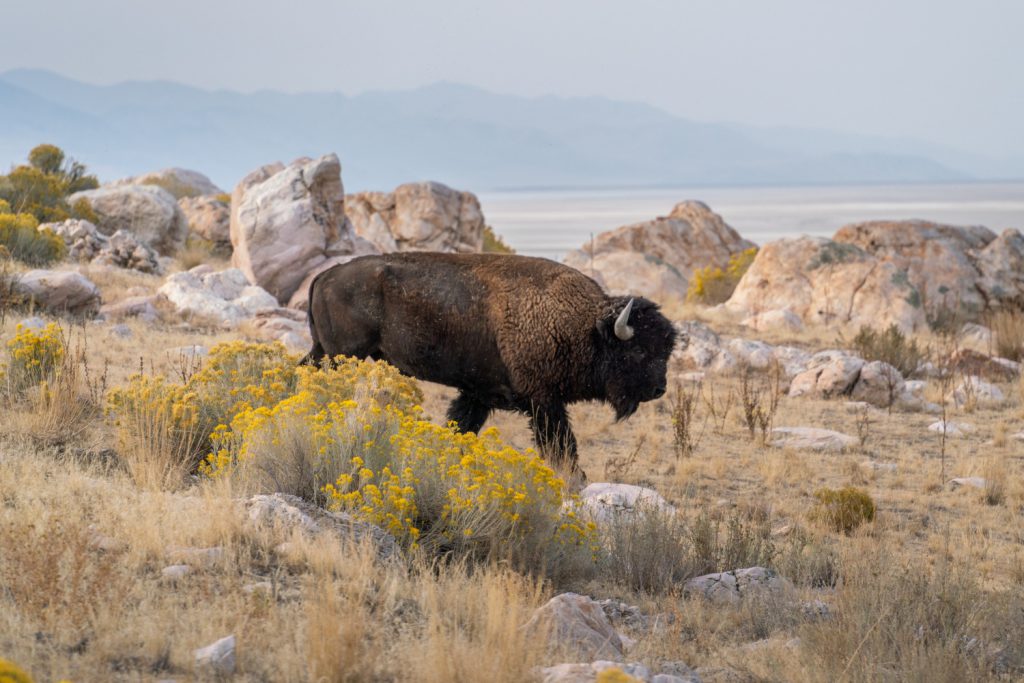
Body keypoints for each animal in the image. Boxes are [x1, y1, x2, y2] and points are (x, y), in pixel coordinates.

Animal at [299, 252, 675, 475]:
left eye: (666, 349)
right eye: (638, 351)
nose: (659, 389)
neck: (584, 325)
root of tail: (326, 276)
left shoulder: (478, 395)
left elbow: (461, 426)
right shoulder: (543, 402)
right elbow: (561, 445)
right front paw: (574, 479)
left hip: (322, 351)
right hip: (343, 355)